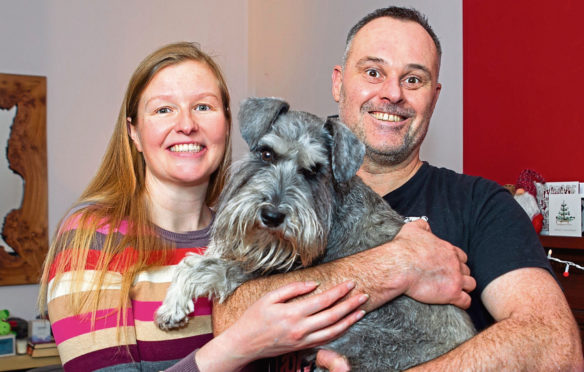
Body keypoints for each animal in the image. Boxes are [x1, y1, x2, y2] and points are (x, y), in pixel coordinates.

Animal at [155, 97, 474, 370]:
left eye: (313, 170)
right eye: (266, 153)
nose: (272, 216)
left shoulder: (266, 270)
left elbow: (205, 267)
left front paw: (172, 306)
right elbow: (196, 259)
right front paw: (174, 302)